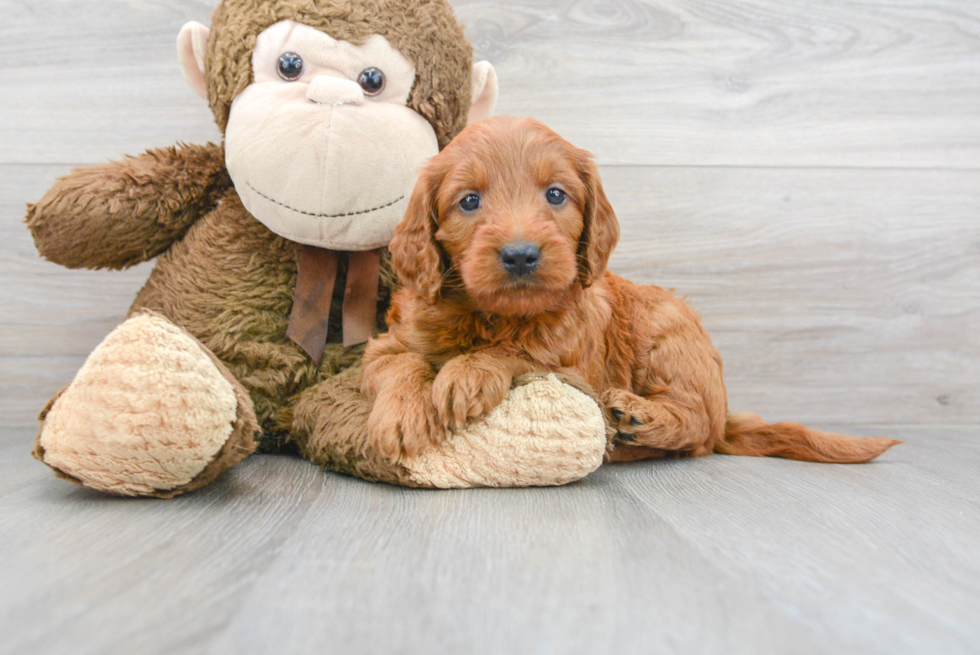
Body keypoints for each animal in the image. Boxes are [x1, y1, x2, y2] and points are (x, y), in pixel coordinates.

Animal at [362, 115, 904, 464]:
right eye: (469, 201)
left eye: (556, 194)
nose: (520, 255)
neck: (492, 315)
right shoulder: (385, 343)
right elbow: (401, 363)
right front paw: (402, 417)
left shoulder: (573, 364)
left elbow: (518, 352)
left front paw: (469, 372)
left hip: (666, 334)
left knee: (698, 427)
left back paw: (639, 417)